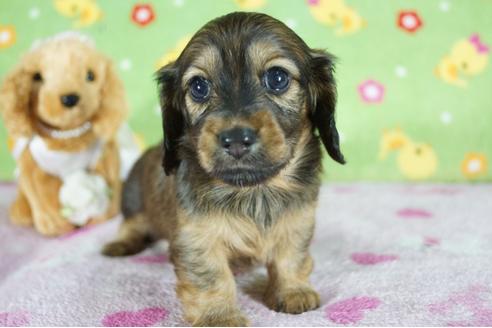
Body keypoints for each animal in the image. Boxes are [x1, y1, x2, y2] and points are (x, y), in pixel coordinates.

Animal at [102, 11, 344, 326]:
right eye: (199, 87)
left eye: (277, 78)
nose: (236, 139)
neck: (254, 192)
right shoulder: (197, 238)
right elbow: (211, 277)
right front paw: (218, 316)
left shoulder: (298, 221)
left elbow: (290, 256)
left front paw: (293, 291)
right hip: (133, 201)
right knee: (131, 225)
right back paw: (121, 244)